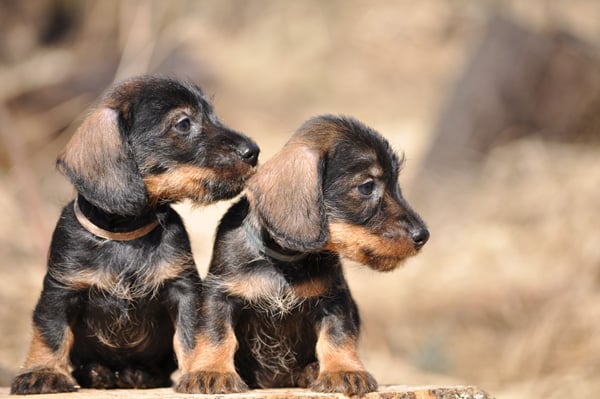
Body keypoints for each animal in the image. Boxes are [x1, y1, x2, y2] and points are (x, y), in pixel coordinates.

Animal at [9, 76, 258, 396]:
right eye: (183, 123)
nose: (253, 151)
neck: (125, 235)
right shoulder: (59, 290)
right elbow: (51, 333)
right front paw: (42, 371)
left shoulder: (183, 290)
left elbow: (191, 336)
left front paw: (201, 370)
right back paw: (97, 373)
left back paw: (139, 374)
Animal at [185, 115, 428, 396]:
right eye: (367, 187)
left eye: (396, 182)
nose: (423, 235)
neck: (284, 262)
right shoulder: (220, 294)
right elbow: (217, 333)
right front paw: (210, 371)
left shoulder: (333, 299)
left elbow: (337, 335)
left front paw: (344, 370)